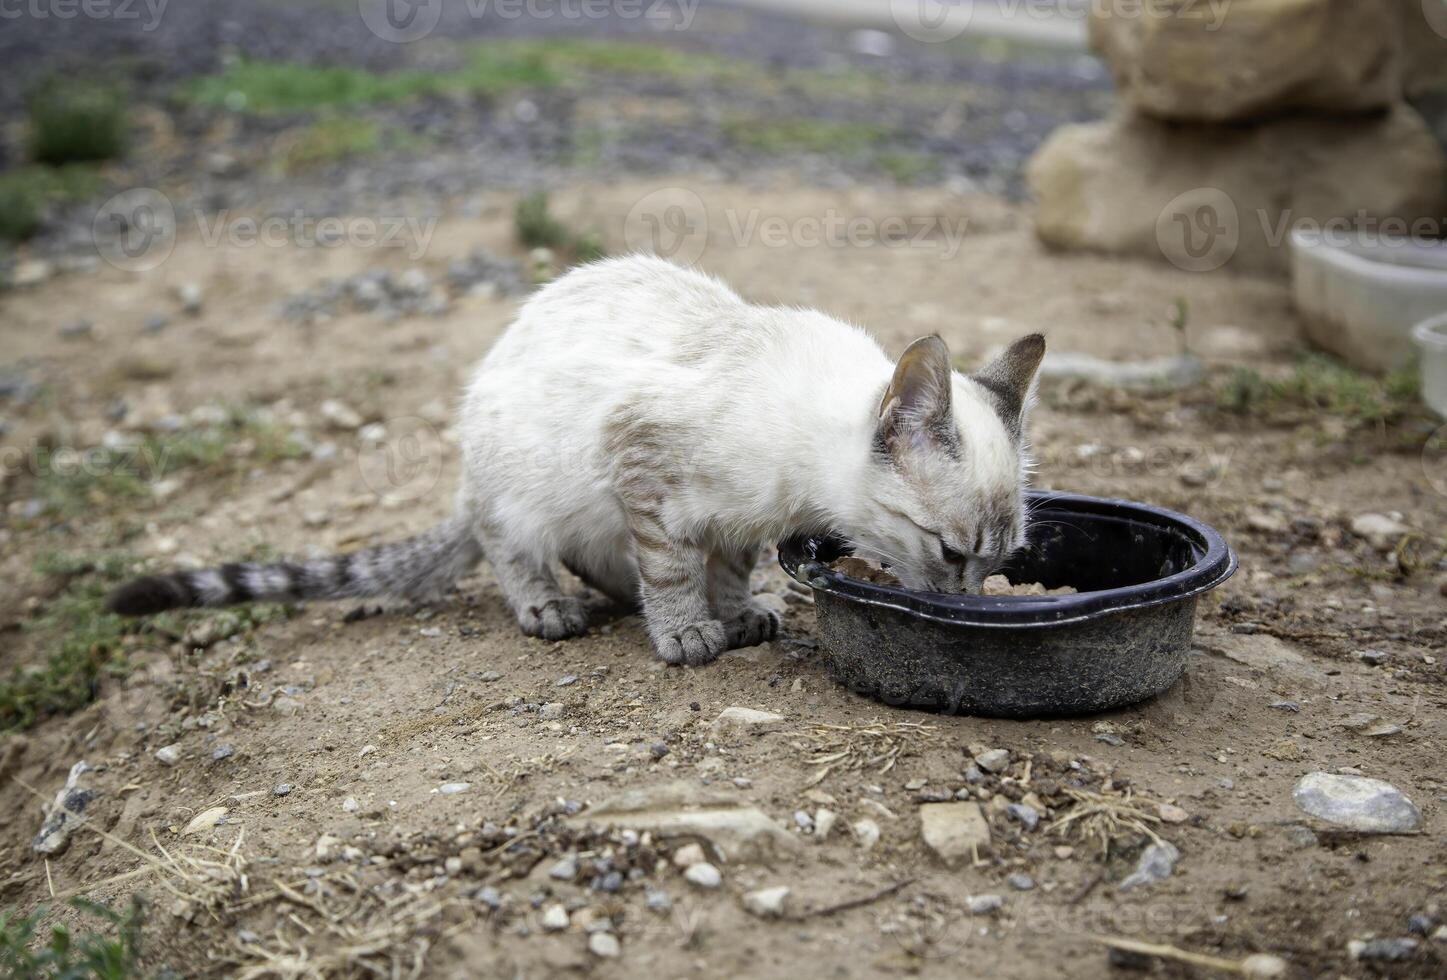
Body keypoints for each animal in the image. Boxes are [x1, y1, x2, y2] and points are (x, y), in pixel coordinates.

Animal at [109, 254, 1041, 665]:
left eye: (999, 561)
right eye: (951, 552)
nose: (973, 607)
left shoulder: (736, 525)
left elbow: (727, 569)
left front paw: (736, 615)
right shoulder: (641, 466)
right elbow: (672, 571)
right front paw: (688, 633)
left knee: (598, 562)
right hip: (518, 488)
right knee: (509, 547)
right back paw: (548, 607)